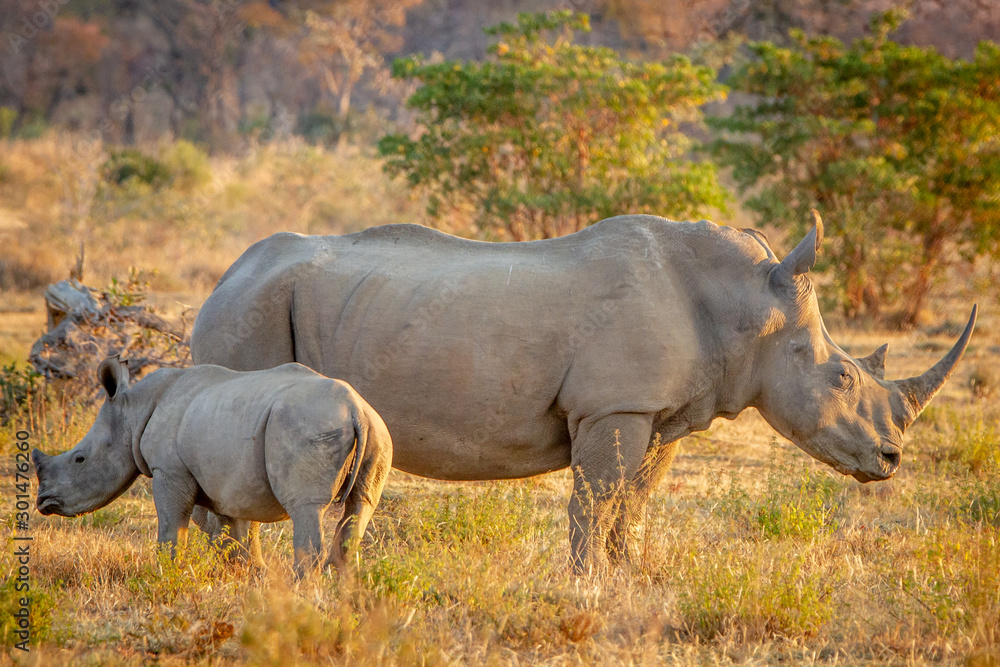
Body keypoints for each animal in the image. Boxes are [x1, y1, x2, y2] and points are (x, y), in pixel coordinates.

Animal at [32, 357, 392, 573]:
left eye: (79, 459)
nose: (43, 502)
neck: (132, 412)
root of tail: (354, 408)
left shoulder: (169, 470)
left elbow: (171, 528)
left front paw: (166, 574)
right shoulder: (227, 484)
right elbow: (233, 538)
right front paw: (247, 578)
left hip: (309, 425)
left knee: (307, 507)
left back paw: (301, 598)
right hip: (378, 432)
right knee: (360, 506)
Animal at [190, 211, 976, 574]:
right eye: (840, 376)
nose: (891, 459)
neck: (746, 303)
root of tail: (225, 274)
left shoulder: (658, 411)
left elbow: (634, 500)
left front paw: (631, 575)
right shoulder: (613, 404)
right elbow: (596, 497)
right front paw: (586, 581)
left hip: (260, 302)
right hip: (250, 310)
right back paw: (243, 578)